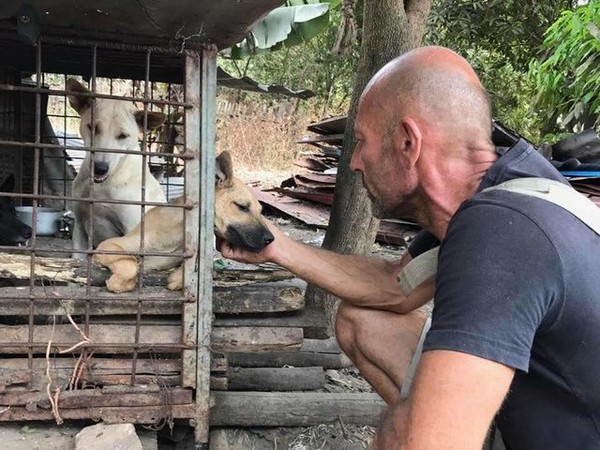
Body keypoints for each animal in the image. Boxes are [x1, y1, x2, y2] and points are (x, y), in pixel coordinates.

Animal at [93, 151, 274, 292]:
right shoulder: (109, 246)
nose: (270, 239)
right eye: (242, 207)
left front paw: (178, 277)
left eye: (261, 211)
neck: (179, 231)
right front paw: (118, 283)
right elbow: (131, 265)